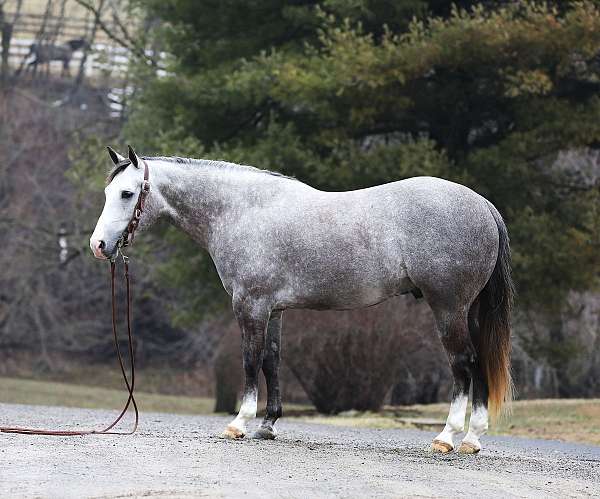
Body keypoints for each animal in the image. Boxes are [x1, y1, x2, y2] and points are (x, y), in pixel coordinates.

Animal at [91, 146, 512, 456]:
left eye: (127, 193)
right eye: (109, 192)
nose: (99, 246)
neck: (243, 210)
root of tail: (484, 205)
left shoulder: (251, 306)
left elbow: (250, 361)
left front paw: (239, 423)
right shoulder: (274, 309)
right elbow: (272, 361)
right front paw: (267, 425)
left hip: (448, 308)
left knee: (463, 364)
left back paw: (448, 438)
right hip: (469, 311)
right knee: (479, 363)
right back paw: (472, 439)